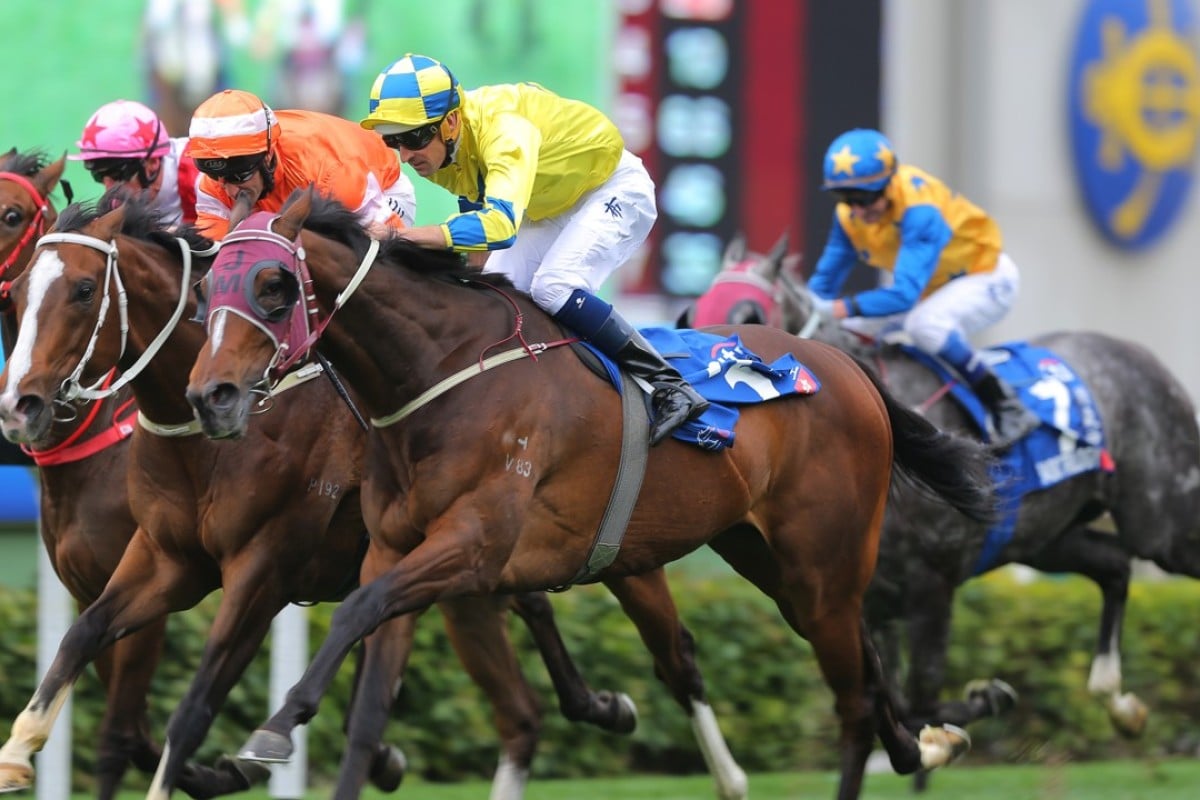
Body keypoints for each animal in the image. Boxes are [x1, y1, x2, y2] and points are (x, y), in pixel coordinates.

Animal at [184, 189, 993, 800]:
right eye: (204, 290)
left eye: (273, 286)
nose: (210, 395)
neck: (441, 375)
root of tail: (850, 370)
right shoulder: (396, 550)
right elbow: (368, 703)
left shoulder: (473, 548)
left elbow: (356, 609)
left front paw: (271, 730)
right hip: (777, 562)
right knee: (865, 662)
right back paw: (926, 743)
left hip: (823, 559)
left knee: (852, 703)